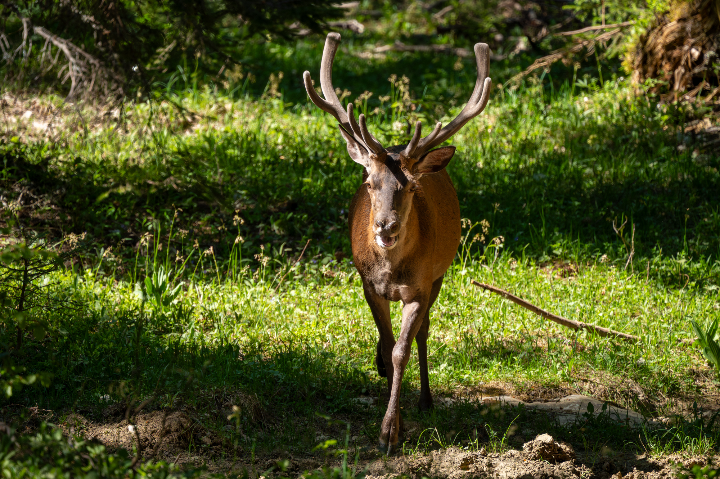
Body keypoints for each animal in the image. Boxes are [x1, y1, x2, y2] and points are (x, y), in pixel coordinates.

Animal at [303, 32, 491, 454]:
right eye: (370, 184)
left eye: (409, 187)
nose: (384, 226)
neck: (391, 269)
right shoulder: (368, 284)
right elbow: (388, 349)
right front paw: (391, 421)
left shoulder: (419, 287)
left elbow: (402, 350)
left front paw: (391, 431)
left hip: (440, 274)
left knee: (424, 332)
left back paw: (425, 399)